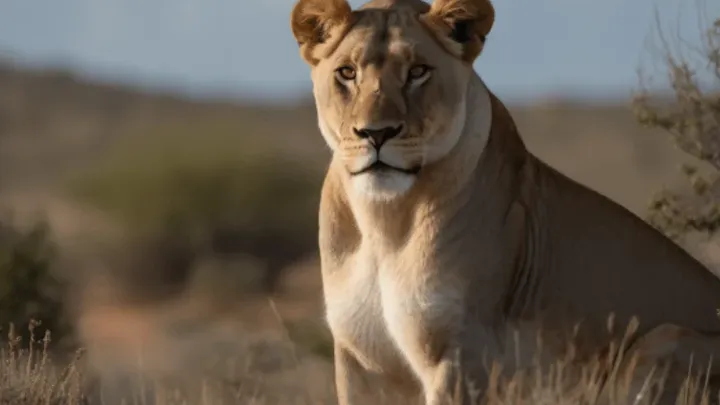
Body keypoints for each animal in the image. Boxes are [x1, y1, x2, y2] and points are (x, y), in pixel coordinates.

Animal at [289, 0, 720, 403]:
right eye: (347, 73)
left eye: (417, 72)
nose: (375, 134)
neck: (384, 220)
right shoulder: (360, 361)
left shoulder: (462, 353)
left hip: (662, 340)